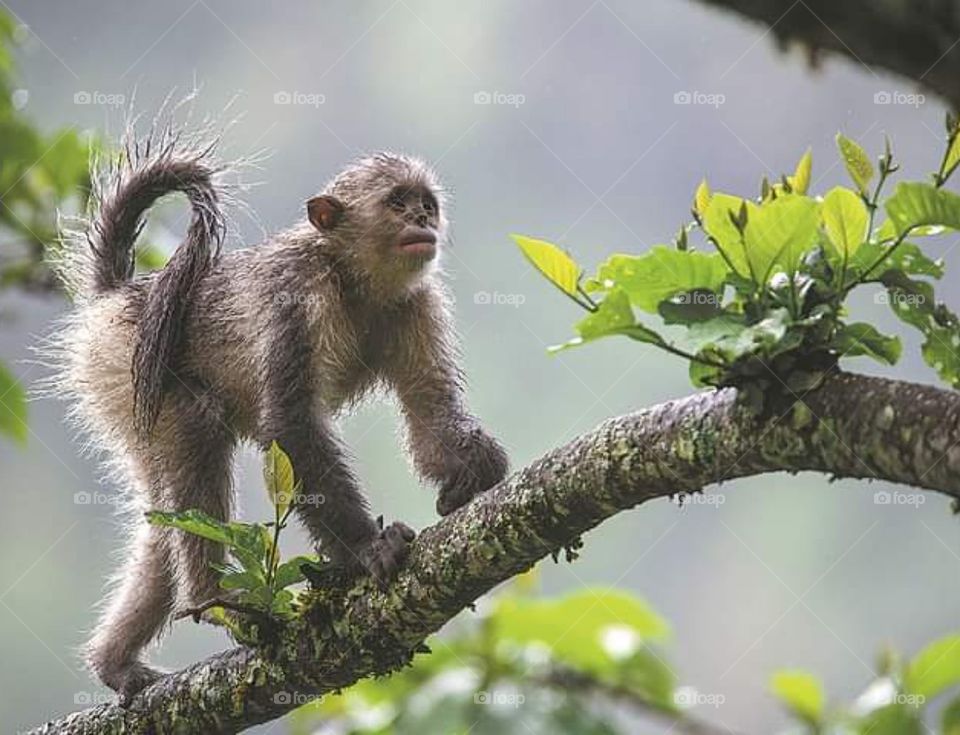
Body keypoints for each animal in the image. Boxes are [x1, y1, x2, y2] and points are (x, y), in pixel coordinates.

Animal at [48, 126, 508, 702]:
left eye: (426, 204)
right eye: (397, 202)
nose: (423, 222)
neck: (347, 276)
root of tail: (118, 296)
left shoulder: (417, 302)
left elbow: (430, 415)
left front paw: (472, 475)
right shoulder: (297, 296)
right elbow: (290, 424)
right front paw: (364, 549)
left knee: (161, 522)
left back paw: (116, 661)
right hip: (125, 367)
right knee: (198, 424)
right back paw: (214, 600)